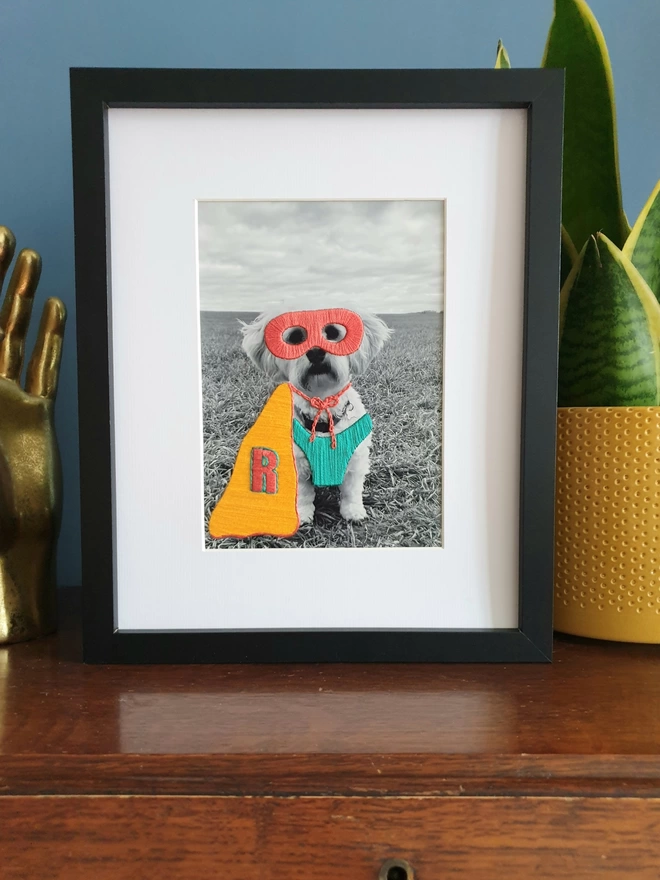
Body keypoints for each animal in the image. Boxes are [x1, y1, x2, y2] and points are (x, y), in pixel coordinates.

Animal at [240, 312, 390, 524]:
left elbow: (351, 490)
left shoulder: (355, 458)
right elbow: (303, 493)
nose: (316, 352)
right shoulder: (298, 463)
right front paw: (302, 514)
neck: (323, 419)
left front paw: (353, 511)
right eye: (295, 337)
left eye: (333, 332)